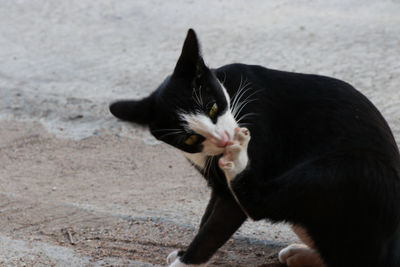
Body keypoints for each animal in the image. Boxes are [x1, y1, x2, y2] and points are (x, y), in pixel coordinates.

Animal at [108, 29, 400, 267]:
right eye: (189, 139)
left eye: (212, 107)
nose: (225, 139)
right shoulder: (218, 184)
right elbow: (207, 219)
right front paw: (183, 253)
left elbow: (214, 228)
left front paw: (185, 261)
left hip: (353, 165)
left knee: (262, 203)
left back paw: (239, 160)